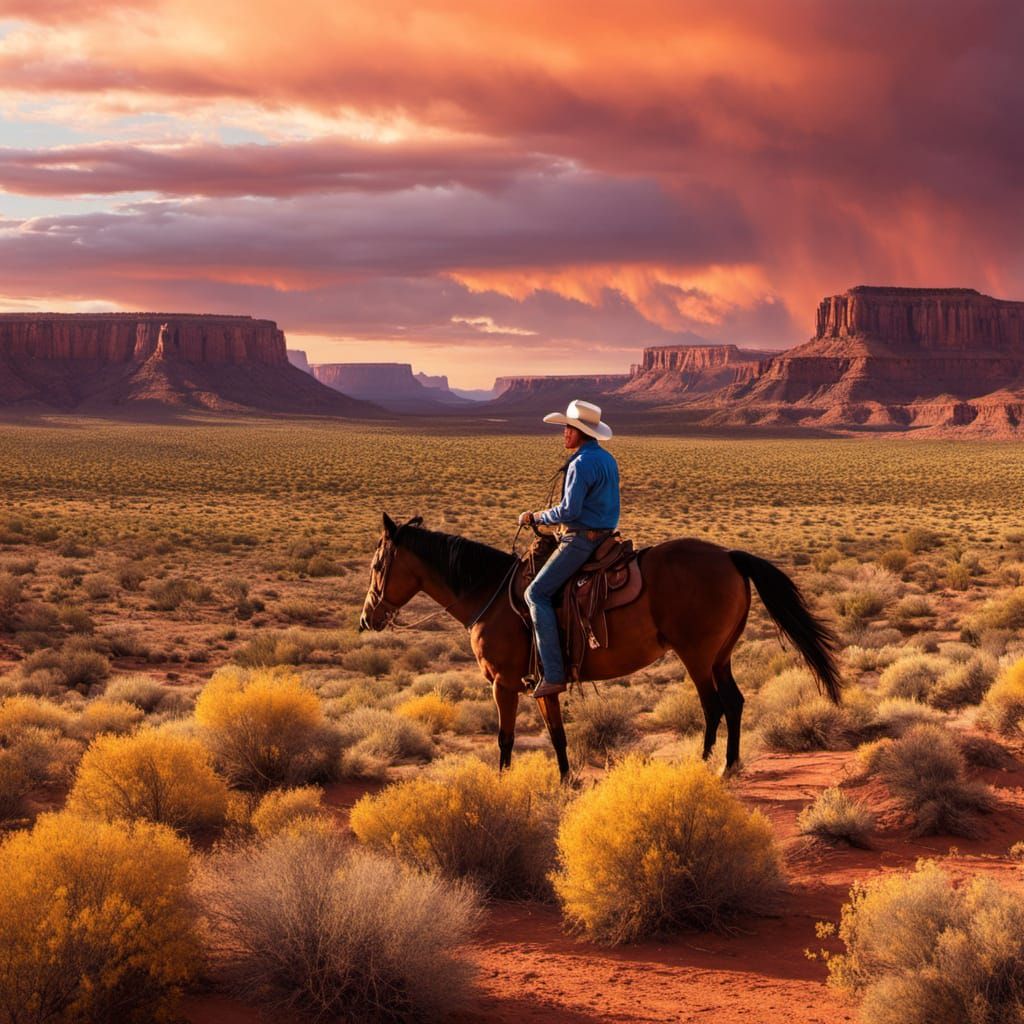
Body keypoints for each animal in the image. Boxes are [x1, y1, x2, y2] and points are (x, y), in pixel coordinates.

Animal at [359, 513, 841, 779]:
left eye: (378, 564)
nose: (367, 618)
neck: (489, 594)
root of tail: (728, 556)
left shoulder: (504, 682)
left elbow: (505, 738)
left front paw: (500, 783)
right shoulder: (543, 682)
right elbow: (556, 734)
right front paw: (566, 780)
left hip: (698, 657)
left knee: (713, 706)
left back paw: (706, 765)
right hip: (721, 656)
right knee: (735, 703)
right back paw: (730, 765)